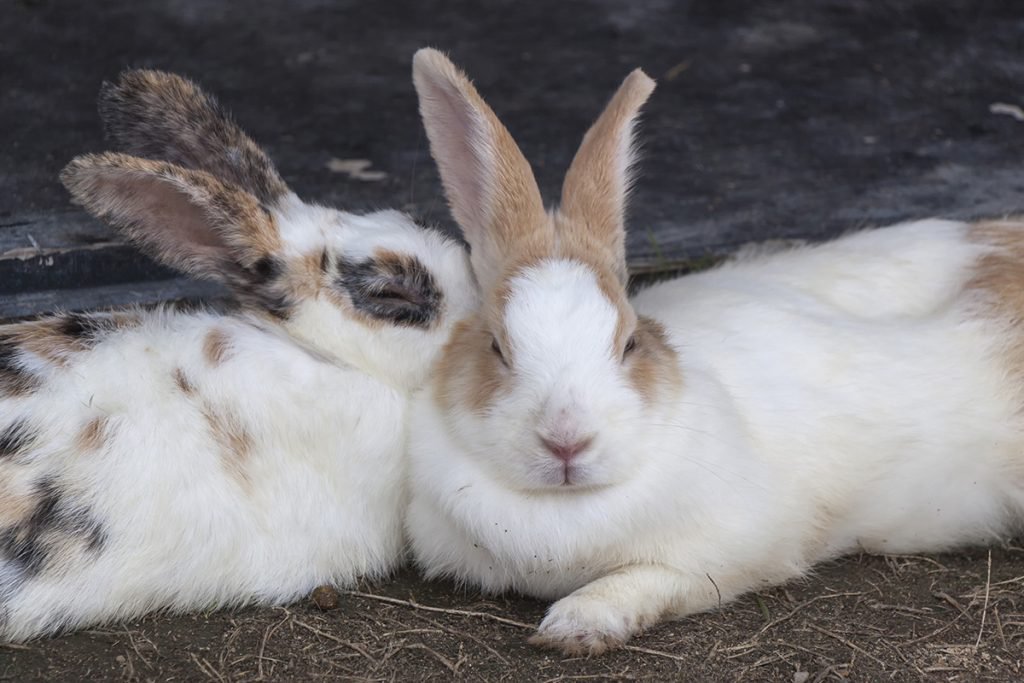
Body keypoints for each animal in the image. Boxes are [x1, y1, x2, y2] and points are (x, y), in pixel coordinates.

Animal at [403, 48, 1024, 655]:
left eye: (629, 342)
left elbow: (647, 578)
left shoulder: (734, 554)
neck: (563, 509)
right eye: (497, 346)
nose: (566, 442)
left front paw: (577, 626)